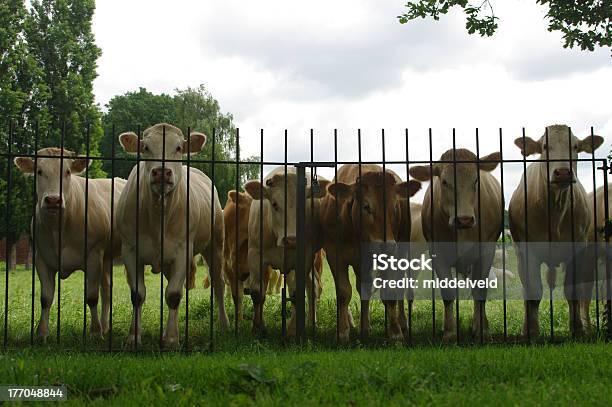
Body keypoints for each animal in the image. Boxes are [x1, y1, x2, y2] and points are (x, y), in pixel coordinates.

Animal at [14, 148, 125, 342]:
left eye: (67, 172)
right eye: (39, 171)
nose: (53, 200)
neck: (59, 228)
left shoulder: (94, 255)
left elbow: (92, 297)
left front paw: (95, 332)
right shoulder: (41, 258)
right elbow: (45, 298)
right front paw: (41, 333)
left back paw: (102, 327)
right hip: (106, 257)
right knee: (106, 289)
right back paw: (105, 326)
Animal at [412, 149, 502, 342]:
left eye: (476, 180)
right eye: (445, 182)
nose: (465, 219)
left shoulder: (487, 250)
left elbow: (480, 291)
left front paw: (483, 330)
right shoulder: (437, 253)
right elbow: (448, 293)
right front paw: (449, 332)